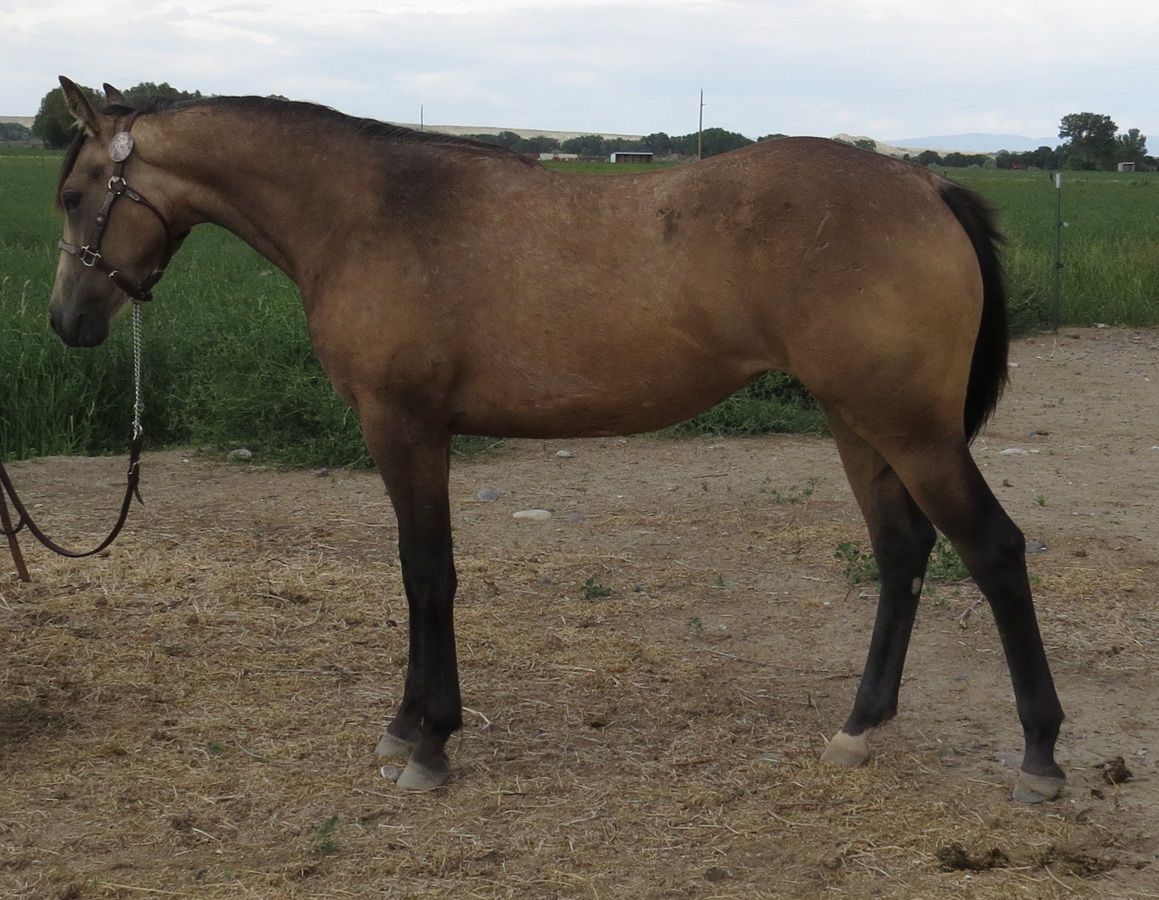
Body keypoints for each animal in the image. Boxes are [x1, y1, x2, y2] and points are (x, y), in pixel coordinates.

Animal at [48, 77, 1065, 802]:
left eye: (72, 194)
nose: (67, 322)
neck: (372, 212)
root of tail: (921, 180)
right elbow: (422, 575)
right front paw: (407, 726)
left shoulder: (403, 426)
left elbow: (426, 575)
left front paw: (428, 742)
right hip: (855, 420)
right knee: (901, 552)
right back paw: (858, 730)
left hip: (908, 427)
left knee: (992, 549)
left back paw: (1039, 757)